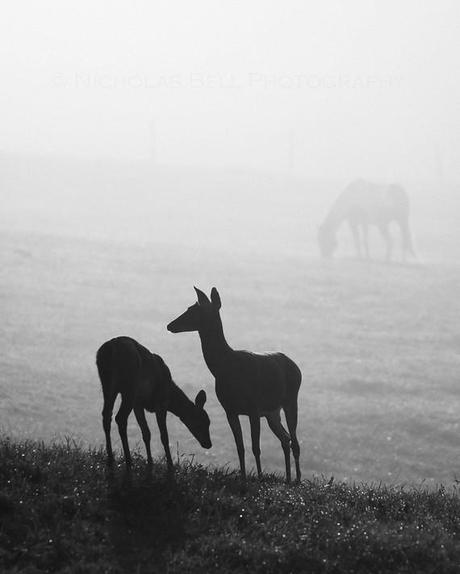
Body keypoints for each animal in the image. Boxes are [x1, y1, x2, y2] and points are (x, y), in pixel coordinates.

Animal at [98, 338, 213, 468]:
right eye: (201, 422)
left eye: (209, 422)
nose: (208, 444)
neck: (170, 394)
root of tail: (111, 349)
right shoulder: (161, 402)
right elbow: (164, 436)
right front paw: (170, 465)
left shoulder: (138, 404)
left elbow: (146, 433)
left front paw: (150, 462)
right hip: (129, 386)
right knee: (120, 417)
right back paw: (128, 461)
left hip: (107, 384)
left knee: (107, 415)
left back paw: (110, 458)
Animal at [167, 290, 304, 484]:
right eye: (189, 307)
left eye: (195, 310)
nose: (170, 325)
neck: (226, 368)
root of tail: (296, 367)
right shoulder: (230, 409)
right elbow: (240, 447)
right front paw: (243, 477)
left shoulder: (254, 407)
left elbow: (255, 447)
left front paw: (259, 478)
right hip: (272, 412)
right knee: (285, 438)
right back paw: (287, 478)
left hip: (291, 400)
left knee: (295, 441)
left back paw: (297, 480)